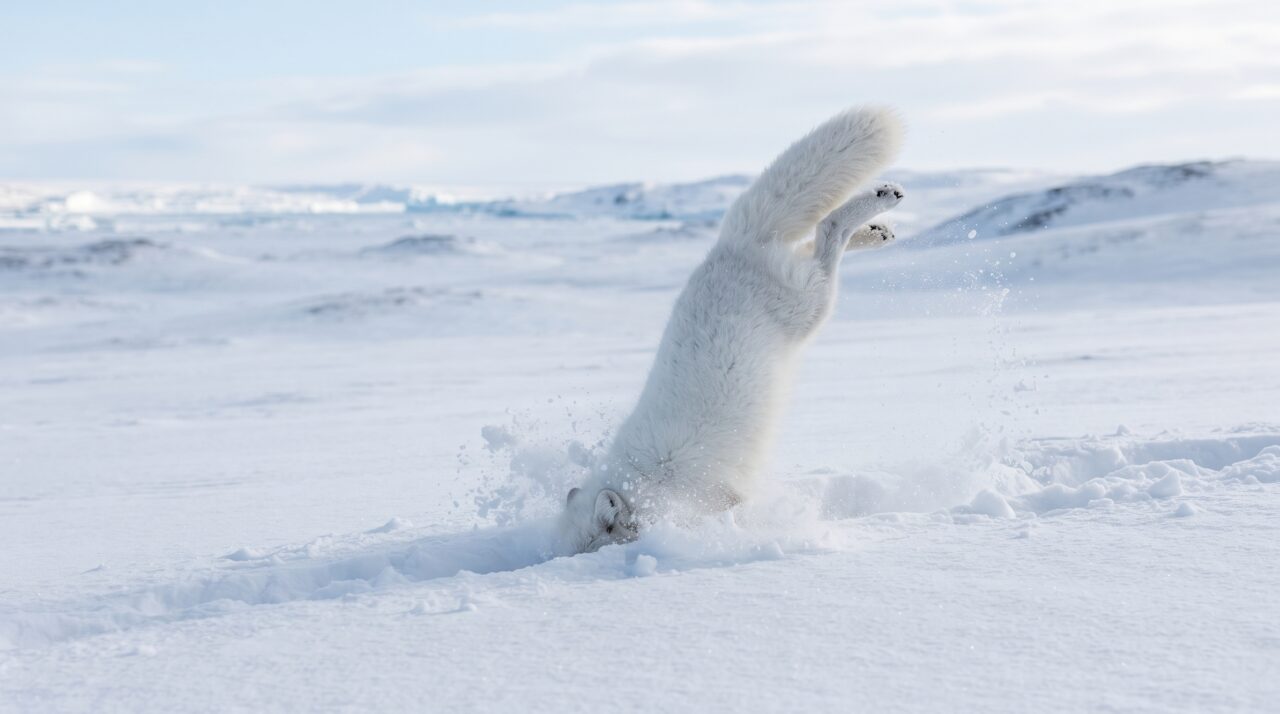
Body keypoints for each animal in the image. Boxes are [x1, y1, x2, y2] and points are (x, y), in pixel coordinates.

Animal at [559, 107, 905, 553]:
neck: (648, 479)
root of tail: (730, 246)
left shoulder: (716, 494)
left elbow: (738, 508)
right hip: (808, 298)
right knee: (816, 237)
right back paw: (878, 230)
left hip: (811, 304)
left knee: (828, 230)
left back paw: (879, 200)